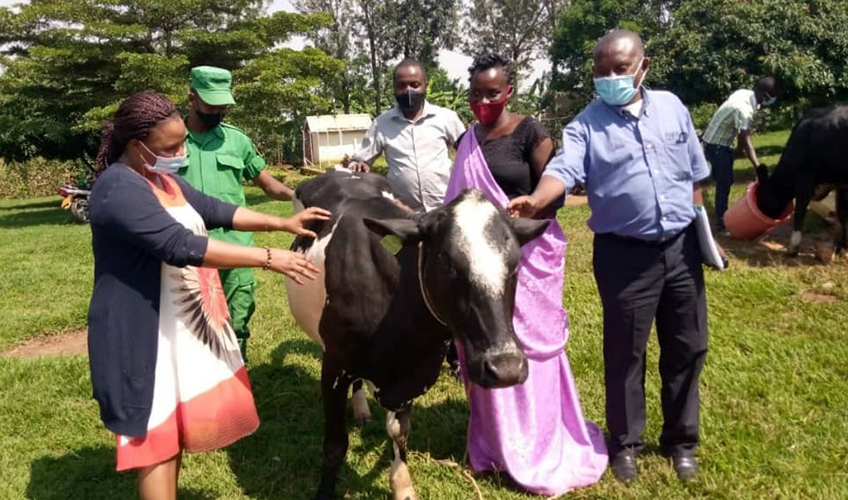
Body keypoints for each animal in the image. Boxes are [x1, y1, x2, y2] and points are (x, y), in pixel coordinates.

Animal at [284, 170, 548, 498]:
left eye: (514, 266)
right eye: (449, 265)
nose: (507, 368)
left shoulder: (413, 375)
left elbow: (399, 433)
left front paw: (402, 486)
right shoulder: (334, 364)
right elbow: (335, 446)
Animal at [756, 105, 848, 254]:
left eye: (760, 195)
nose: (762, 215)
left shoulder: (805, 177)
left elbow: (799, 211)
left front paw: (793, 247)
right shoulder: (841, 184)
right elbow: (842, 214)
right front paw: (841, 247)